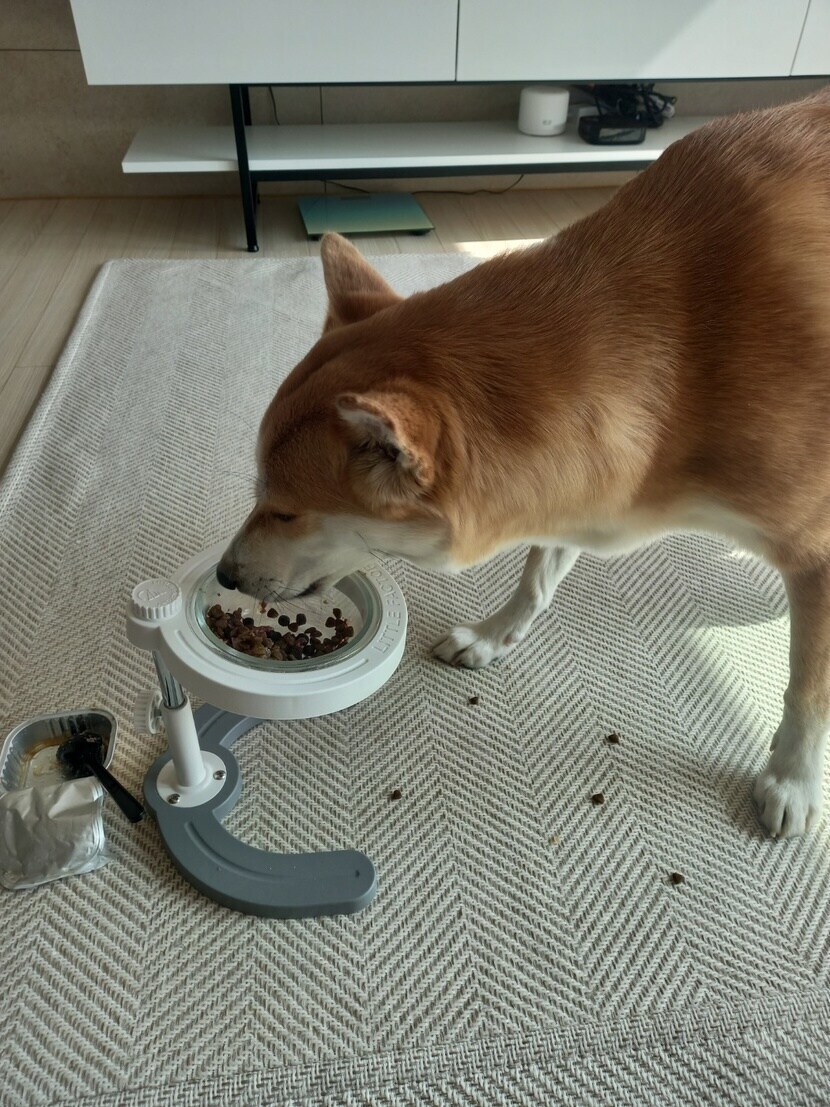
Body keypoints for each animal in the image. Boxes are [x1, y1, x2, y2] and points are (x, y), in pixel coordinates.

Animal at [218, 89, 830, 840]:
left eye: (283, 510)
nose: (224, 574)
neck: (683, 356)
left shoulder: (815, 552)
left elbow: (808, 688)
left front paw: (793, 778)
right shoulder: (578, 490)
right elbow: (537, 578)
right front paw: (490, 639)